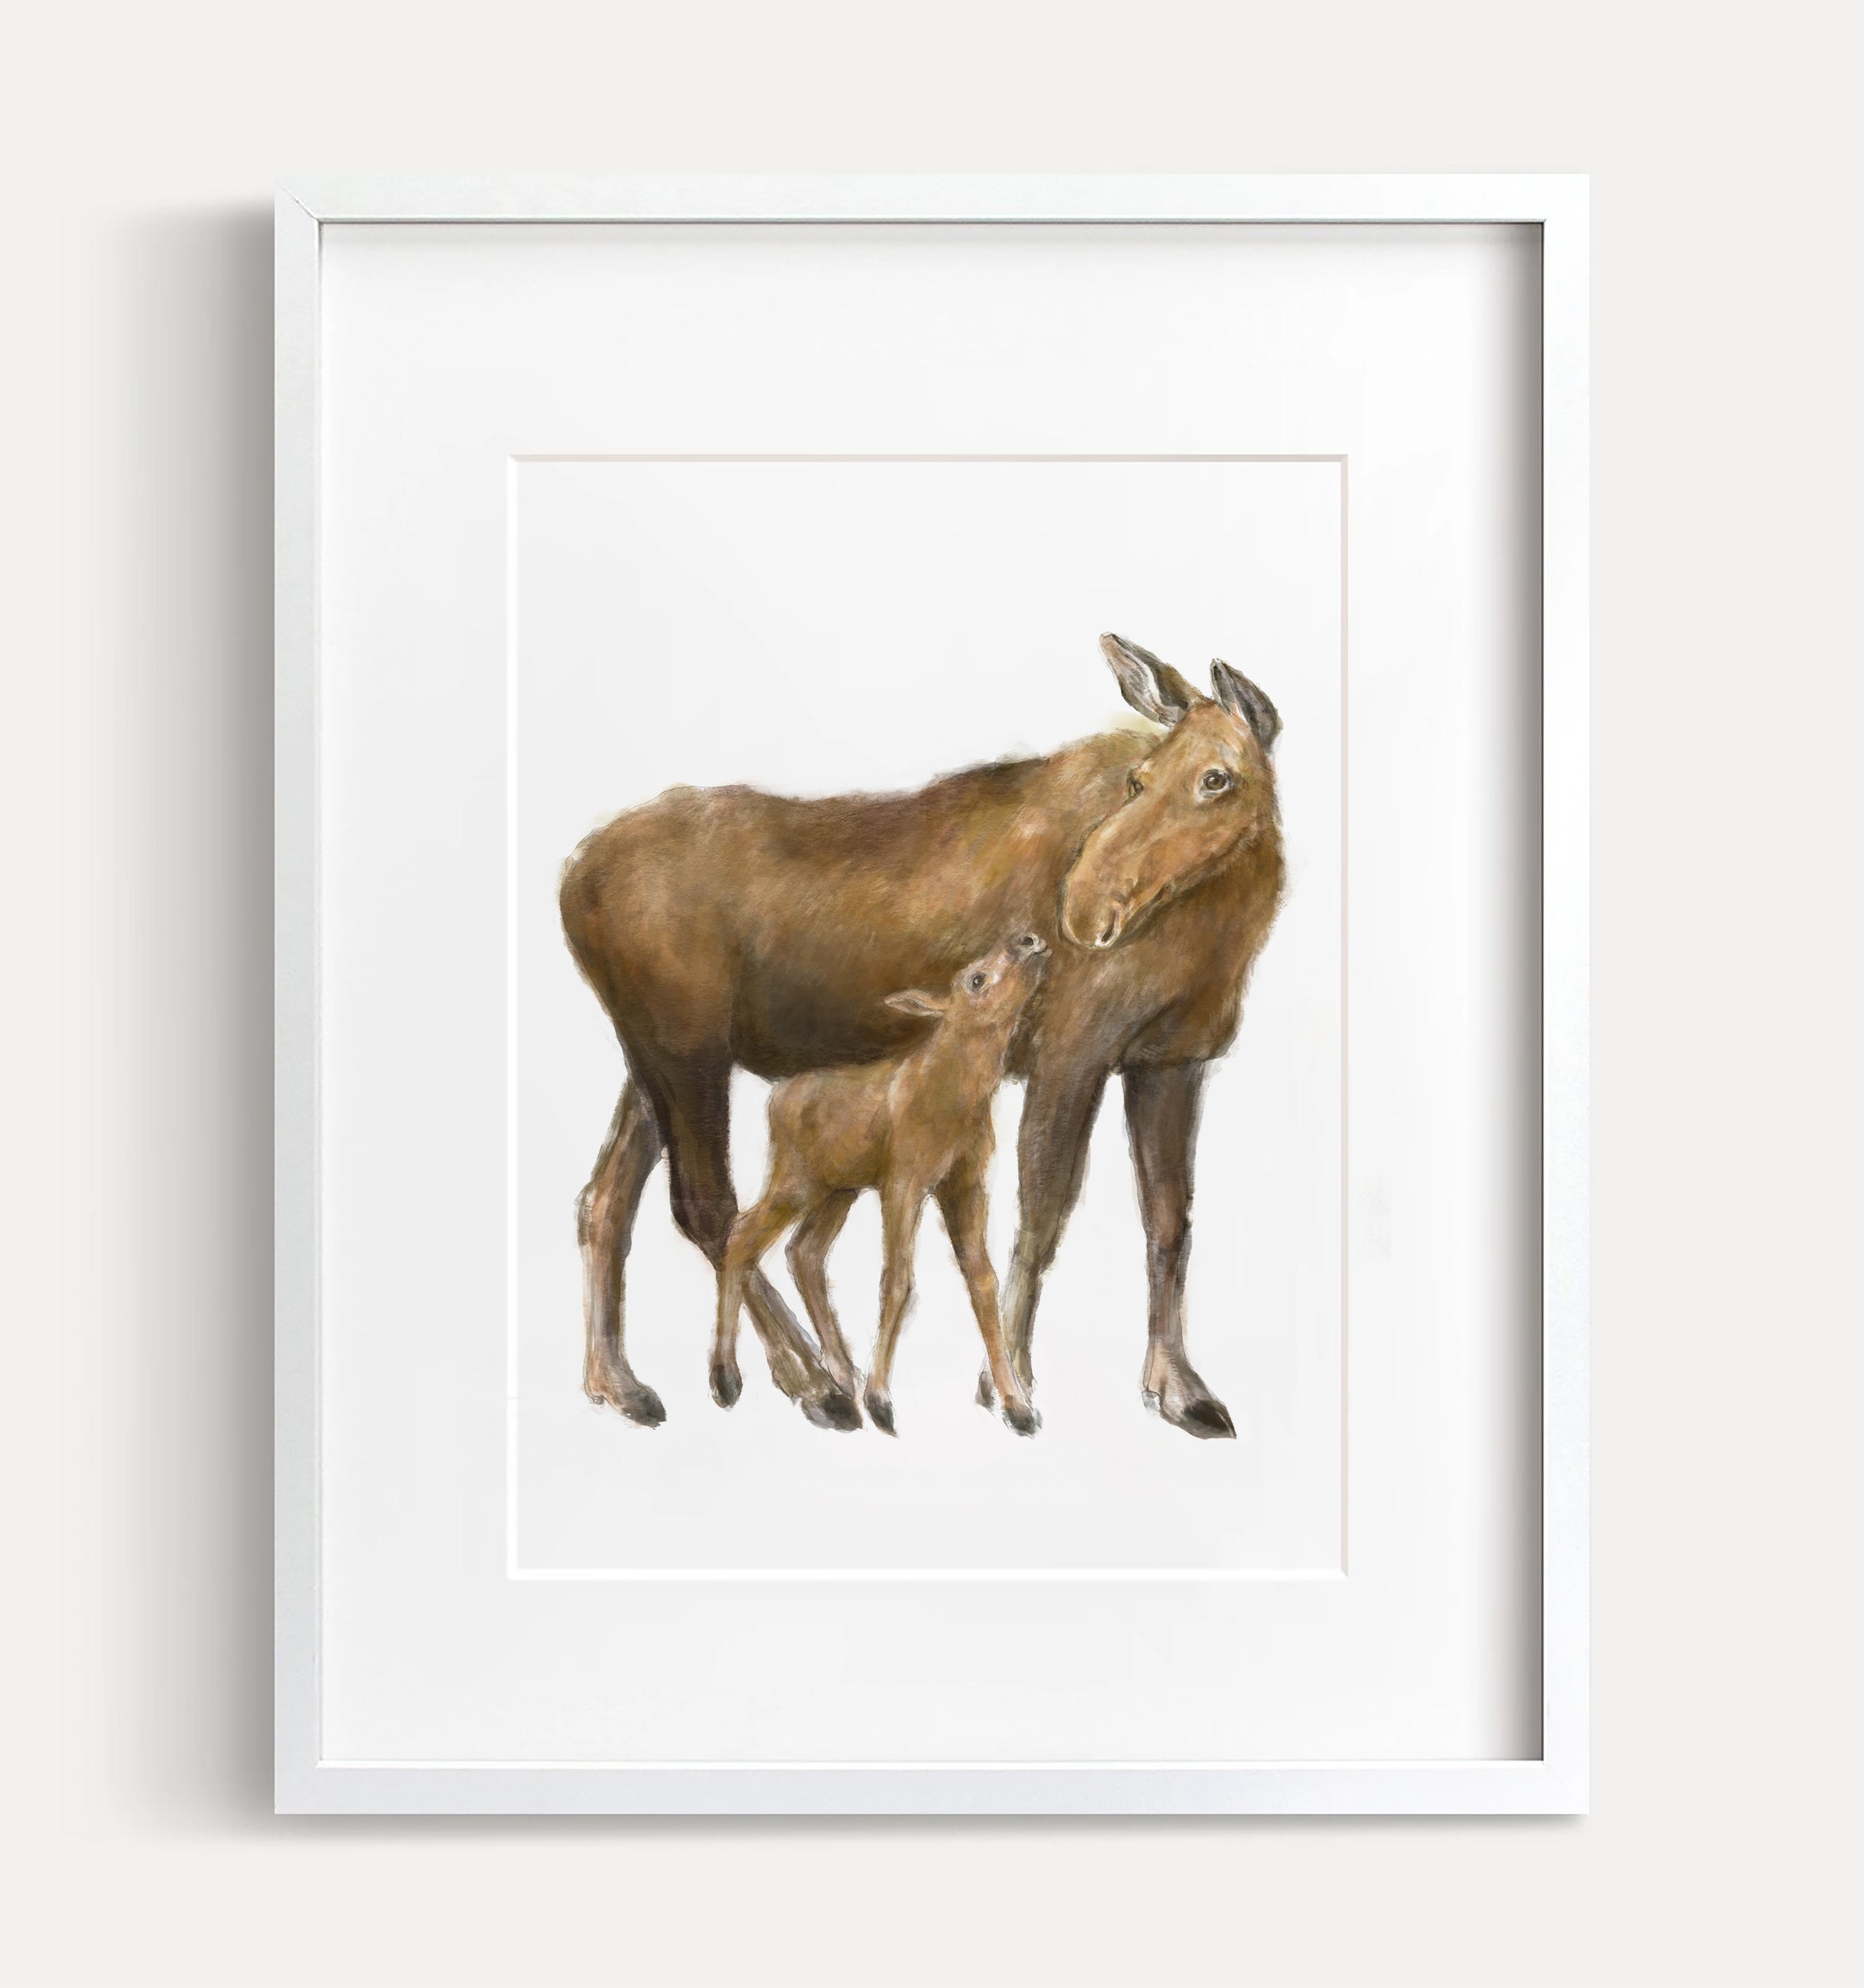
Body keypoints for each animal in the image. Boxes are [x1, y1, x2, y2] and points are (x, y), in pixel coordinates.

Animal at [713, 933, 1049, 1437]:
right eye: (975, 980)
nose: (1025, 940)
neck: (961, 1100)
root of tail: (775, 1099)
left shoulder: (965, 1183)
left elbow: (982, 1279)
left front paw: (1017, 1404)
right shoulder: (903, 1181)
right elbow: (897, 1280)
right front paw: (880, 1399)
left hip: (837, 1191)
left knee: (803, 1252)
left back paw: (839, 1371)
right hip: (795, 1180)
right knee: (741, 1236)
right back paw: (727, 1377)